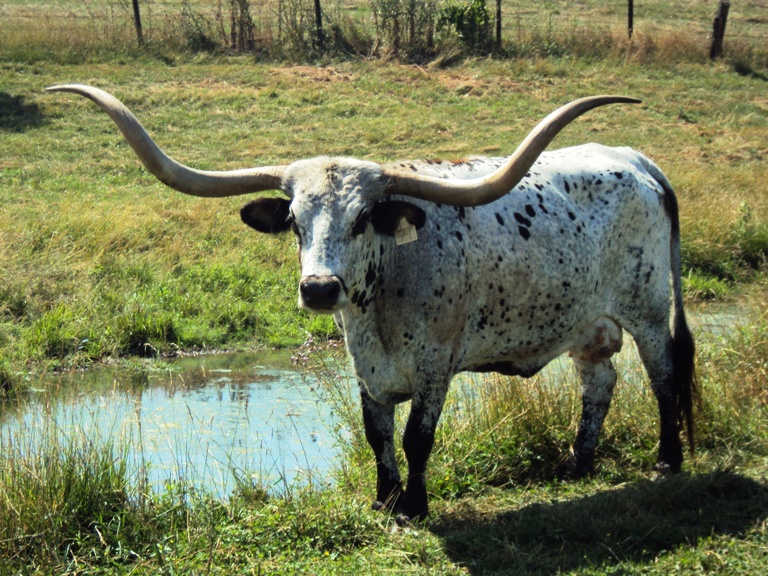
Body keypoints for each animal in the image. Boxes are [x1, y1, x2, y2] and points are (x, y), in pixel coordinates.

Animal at [46, 86, 696, 528]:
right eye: (294, 221)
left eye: (362, 218)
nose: (318, 289)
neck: (383, 297)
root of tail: (635, 159)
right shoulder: (366, 367)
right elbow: (375, 433)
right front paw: (383, 500)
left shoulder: (435, 365)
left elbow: (415, 438)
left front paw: (413, 506)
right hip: (587, 323)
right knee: (599, 381)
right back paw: (578, 461)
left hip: (647, 309)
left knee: (664, 376)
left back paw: (668, 461)